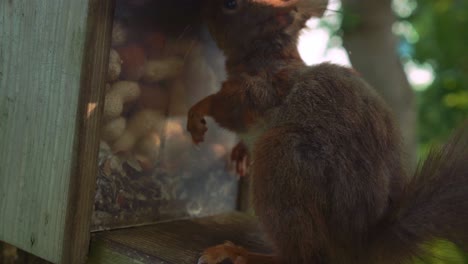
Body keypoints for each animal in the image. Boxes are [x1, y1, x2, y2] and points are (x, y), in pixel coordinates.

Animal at [186, 0, 468, 264]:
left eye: (231, 4)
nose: (201, 7)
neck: (267, 53)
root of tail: (361, 245)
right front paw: (240, 152)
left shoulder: (265, 88)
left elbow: (231, 106)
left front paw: (196, 112)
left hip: (281, 158)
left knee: (301, 256)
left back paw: (239, 253)